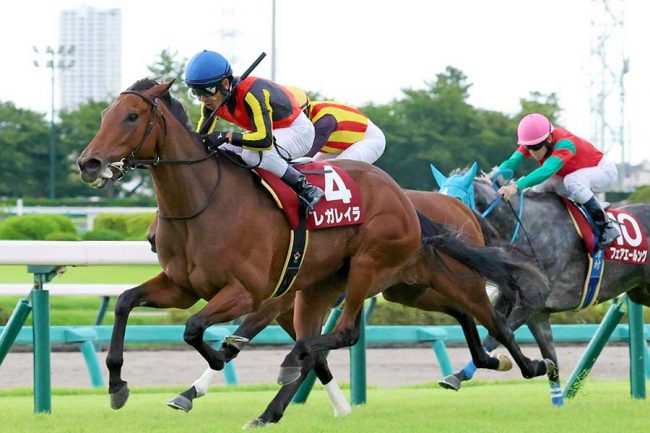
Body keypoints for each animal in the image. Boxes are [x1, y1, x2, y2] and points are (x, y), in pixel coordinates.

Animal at [77, 79, 551, 427]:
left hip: (374, 268)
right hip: (388, 287)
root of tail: (405, 199)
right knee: (456, 316)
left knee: (352, 332)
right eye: (104, 115)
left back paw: (532, 365)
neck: (205, 201)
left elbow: (198, 331)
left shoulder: (249, 292)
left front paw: (210, 368)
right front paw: (118, 386)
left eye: (132, 116)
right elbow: (125, 302)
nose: (89, 163)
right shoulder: (182, 286)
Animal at [431, 162, 650, 405]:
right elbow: (550, 361)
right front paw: (456, 376)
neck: (525, 230)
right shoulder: (531, 310)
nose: (434, 233)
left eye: (456, 201)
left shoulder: (533, 302)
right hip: (641, 291)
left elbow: (494, 336)